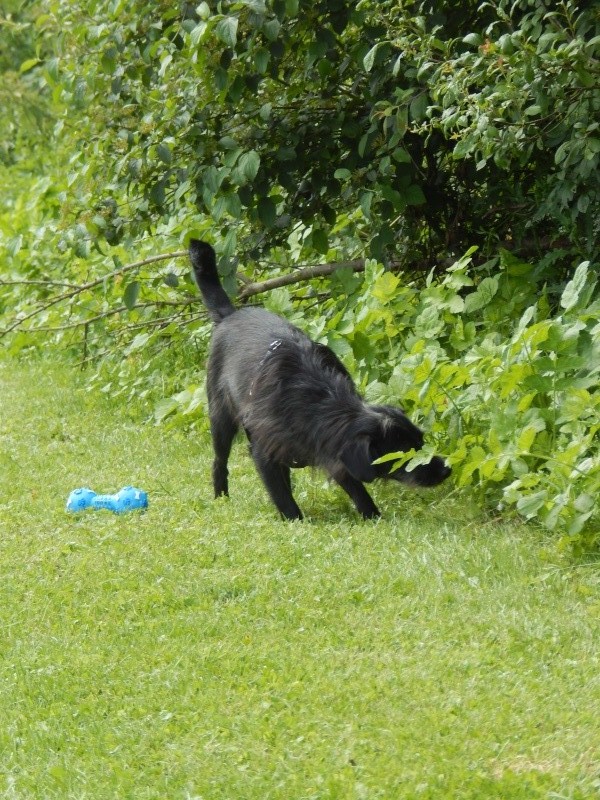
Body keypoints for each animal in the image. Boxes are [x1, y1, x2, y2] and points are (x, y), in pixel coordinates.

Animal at [190, 241, 448, 520]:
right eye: (404, 454)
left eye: (422, 441)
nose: (448, 469)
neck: (320, 401)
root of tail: (229, 315)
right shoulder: (264, 453)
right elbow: (282, 497)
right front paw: (295, 520)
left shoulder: (333, 453)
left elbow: (355, 488)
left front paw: (372, 515)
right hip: (221, 418)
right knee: (219, 462)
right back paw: (221, 496)